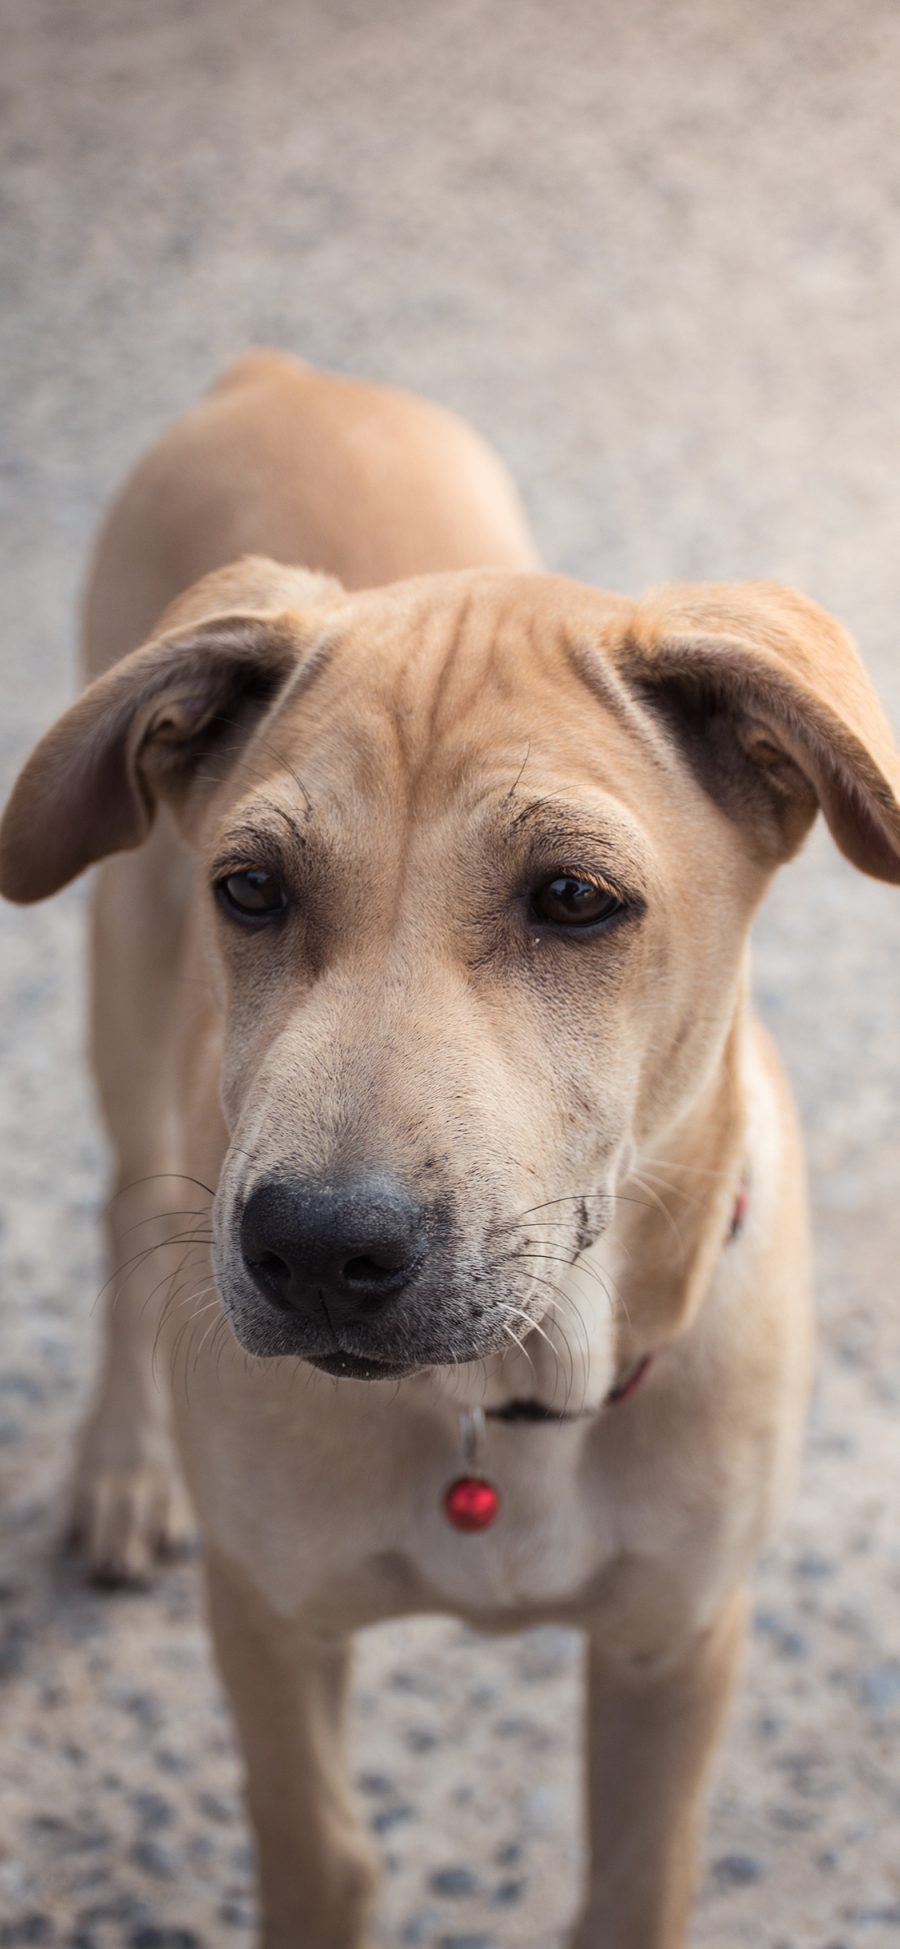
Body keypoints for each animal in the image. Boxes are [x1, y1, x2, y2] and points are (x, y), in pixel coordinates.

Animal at [1, 354, 900, 1949]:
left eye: (577, 899)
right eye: (251, 887)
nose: (314, 1249)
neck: (512, 1410)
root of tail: (287, 375)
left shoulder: (681, 1646)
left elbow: (632, 1886)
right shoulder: (269, 1616)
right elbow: (322, 1858)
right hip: (122, 965)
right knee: (121, 1205)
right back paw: (121, 1466)